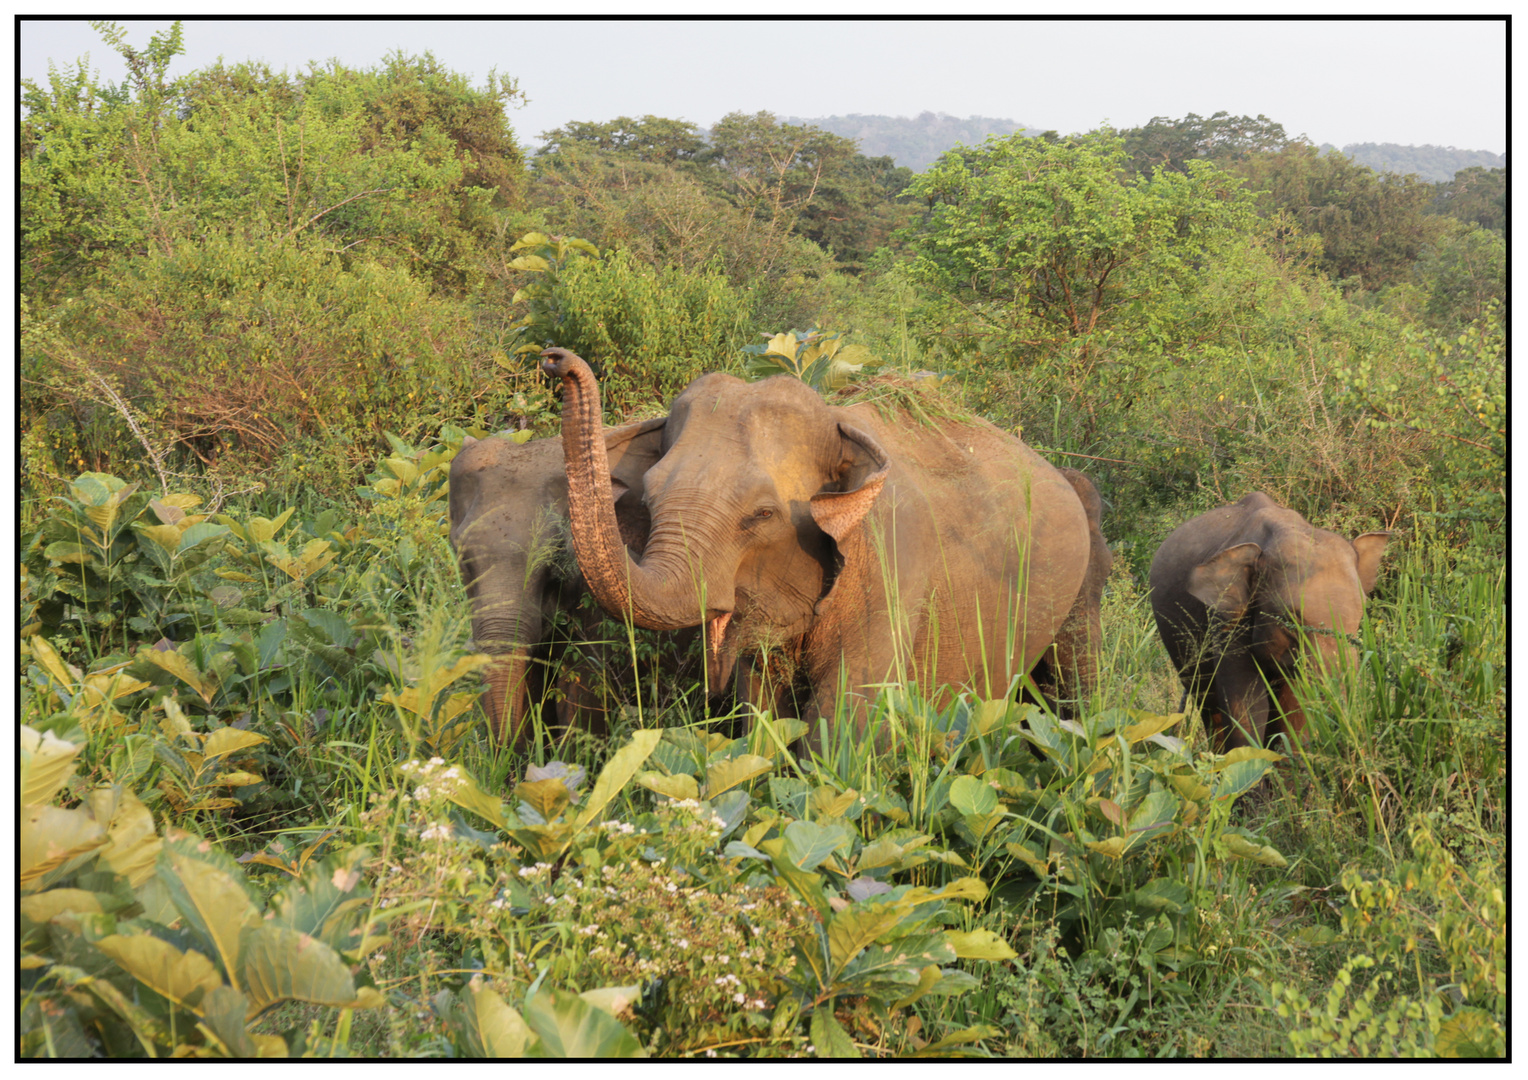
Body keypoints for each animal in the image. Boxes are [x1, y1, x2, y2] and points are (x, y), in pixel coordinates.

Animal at [543, 346, 1094, 736]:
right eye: (651, 498)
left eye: (762, 514)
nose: (555, 360)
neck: (838, 420)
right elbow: (763, 707)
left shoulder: (894, 566)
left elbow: (842, 717)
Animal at [1149, 494, 1393, 757]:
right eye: (1291, 620)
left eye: (1360, 616)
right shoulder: (1228, 618)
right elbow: (1246, 701)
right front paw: (1249, 761)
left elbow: (1293, 704)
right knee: (1206, 699)